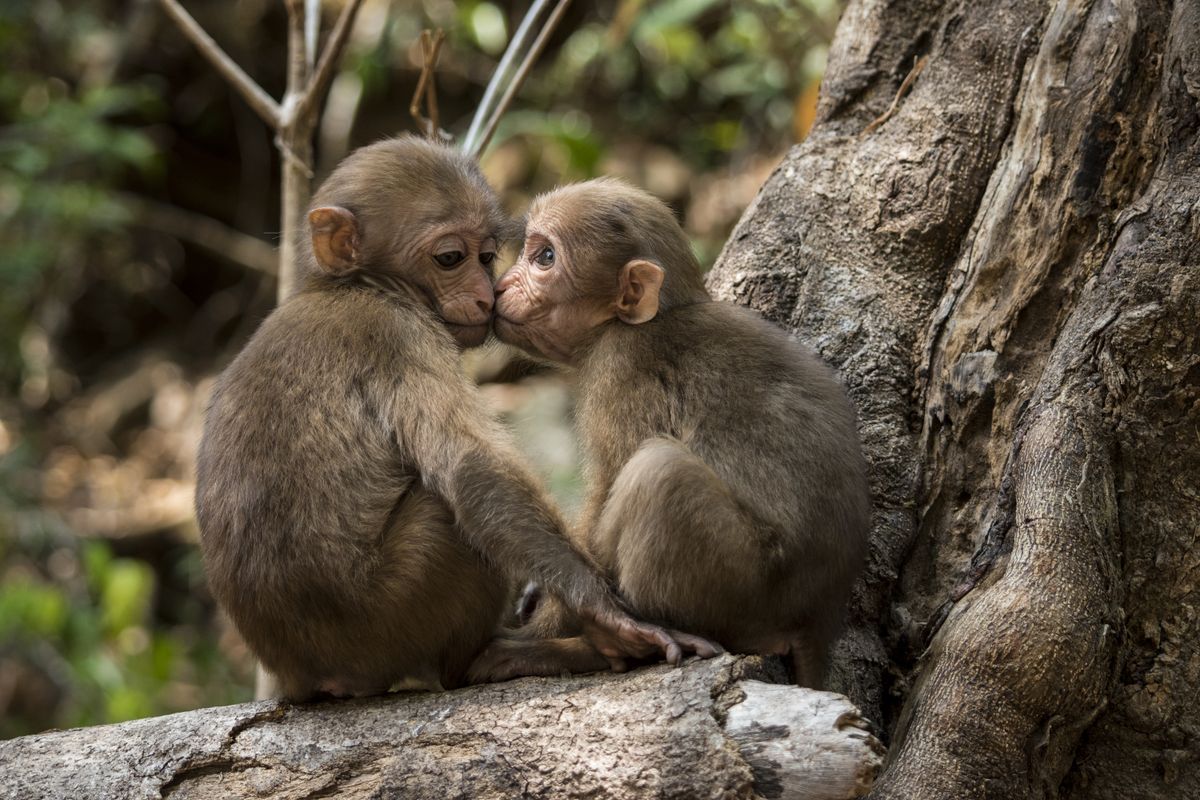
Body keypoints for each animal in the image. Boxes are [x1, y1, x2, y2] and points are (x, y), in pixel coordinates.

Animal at [195, 142, 715, 700]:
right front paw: (604, 614)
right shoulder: (401, 333)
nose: (488, 293)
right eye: (450, 258)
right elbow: (471, 468)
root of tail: (306, 677)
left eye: (486, 256)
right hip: (395, 616)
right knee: (445, 515)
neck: (354, 287)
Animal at [470, 176, 873, 690]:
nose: (500, 286)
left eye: (545, 257)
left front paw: (557, 630)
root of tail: (816, 618)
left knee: (661, 473)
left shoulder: (618, 369)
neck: (642, 318)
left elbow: (606, 497)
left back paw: (597, 649)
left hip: (744, 588)